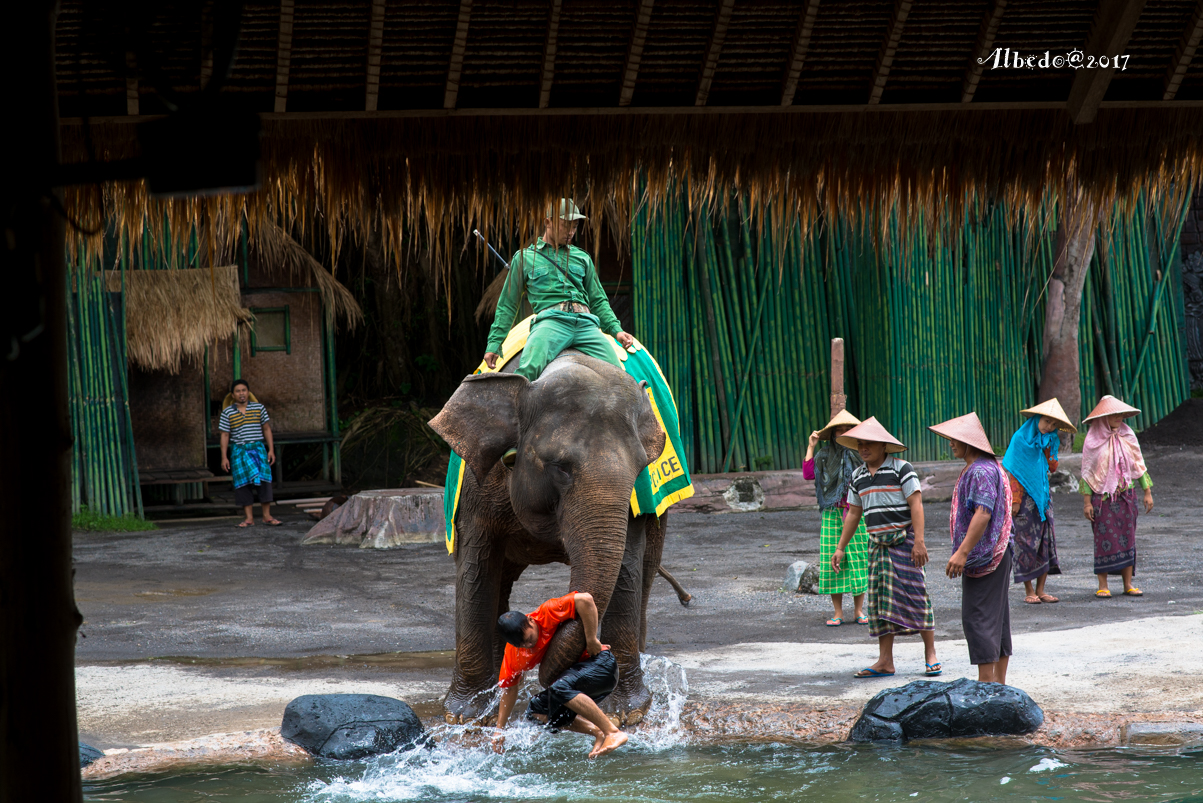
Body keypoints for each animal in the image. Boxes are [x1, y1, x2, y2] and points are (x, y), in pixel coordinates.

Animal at [425, 353, 673, 727]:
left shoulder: (631, 502)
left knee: (645, 571)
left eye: (642, 466)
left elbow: (627, 568)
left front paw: (626, 713)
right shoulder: (476, 487)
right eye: (560, 467)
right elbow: (476, 568)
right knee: (498, 579)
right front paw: (466, 715)